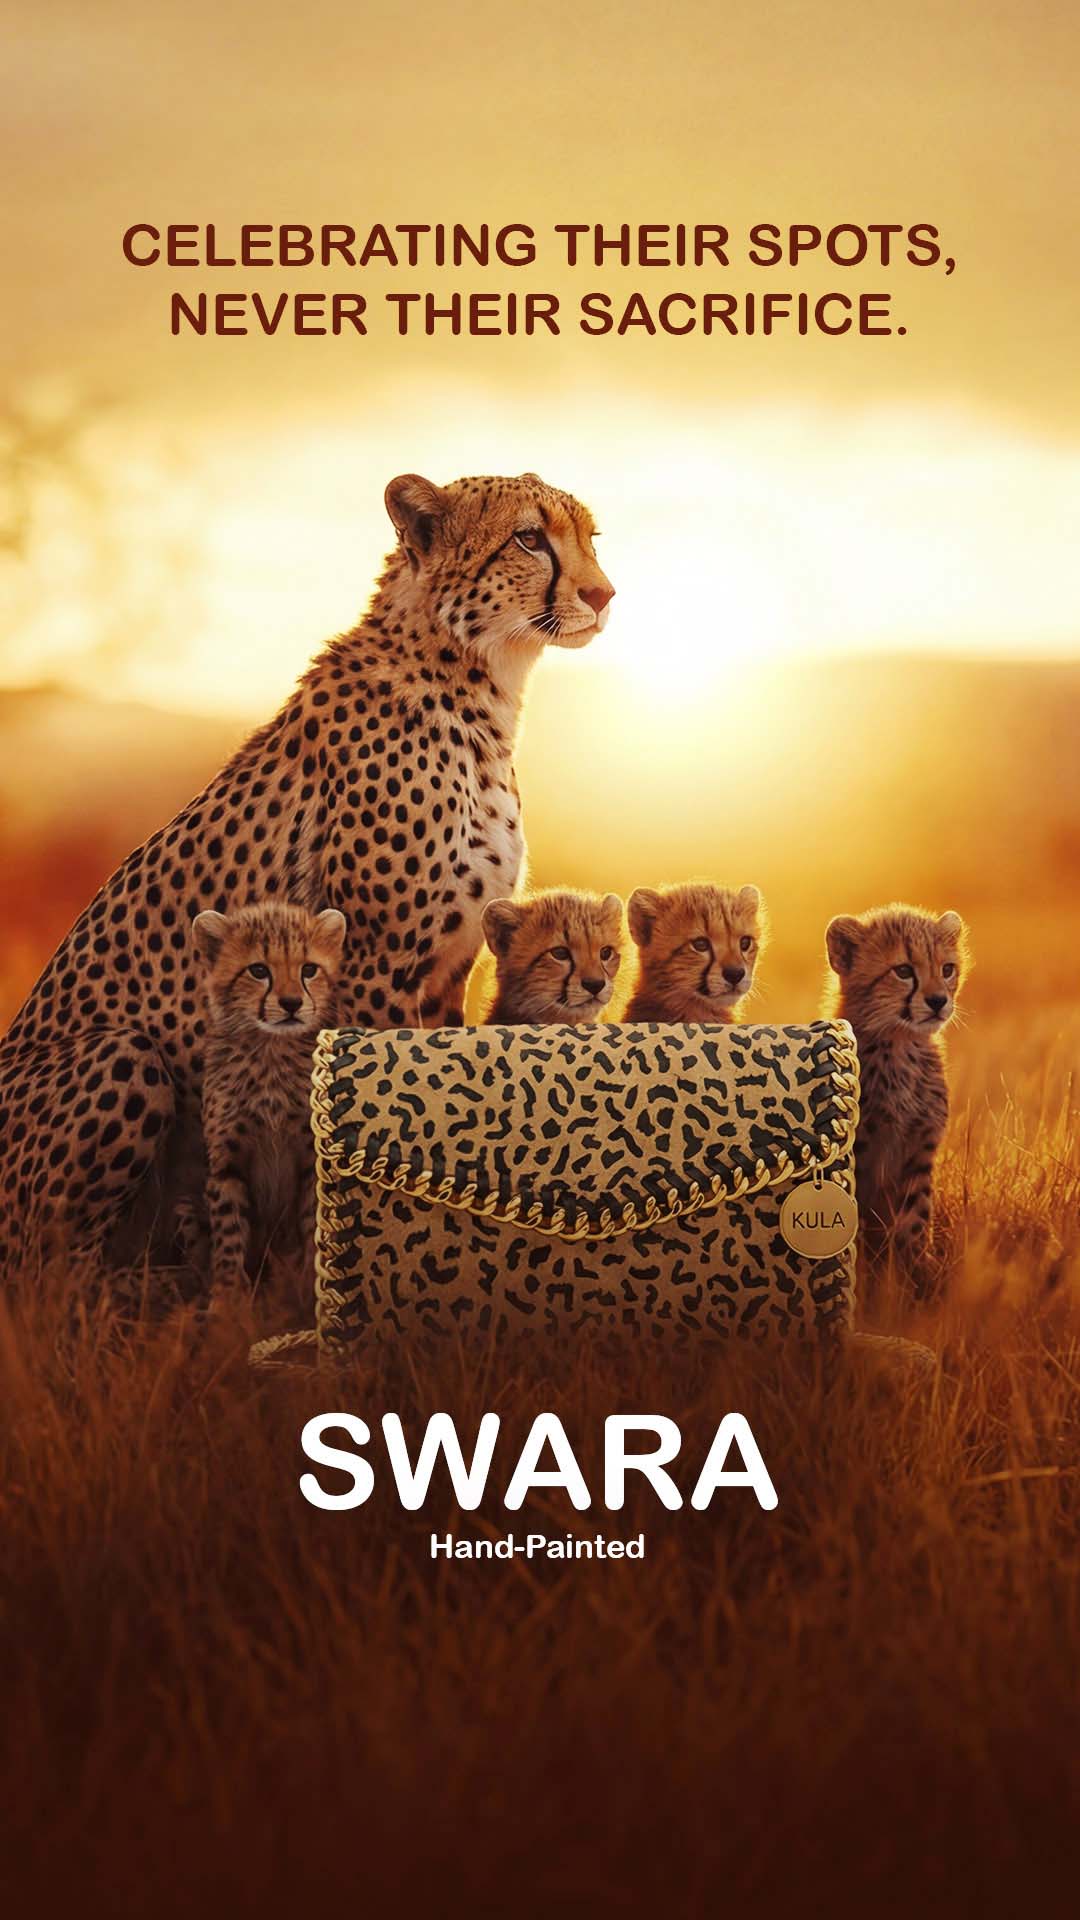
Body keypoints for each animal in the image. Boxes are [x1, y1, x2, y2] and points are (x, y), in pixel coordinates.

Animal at [191, 902, 345, 1292]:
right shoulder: (226, 1163)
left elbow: (313, 1226)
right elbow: (229, 1235)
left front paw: (309, 1289)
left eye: (309, 969)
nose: (291, 1003)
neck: (272, 1051)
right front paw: (227, 1297)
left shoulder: (311, 1158)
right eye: (258, 970)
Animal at [825, 903, 969, 1292]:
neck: (901, 1044)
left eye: (947, 970)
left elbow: (914, 1221)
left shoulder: (918, 1152)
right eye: (903, 971)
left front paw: (921, 1277)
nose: (938, 1001)